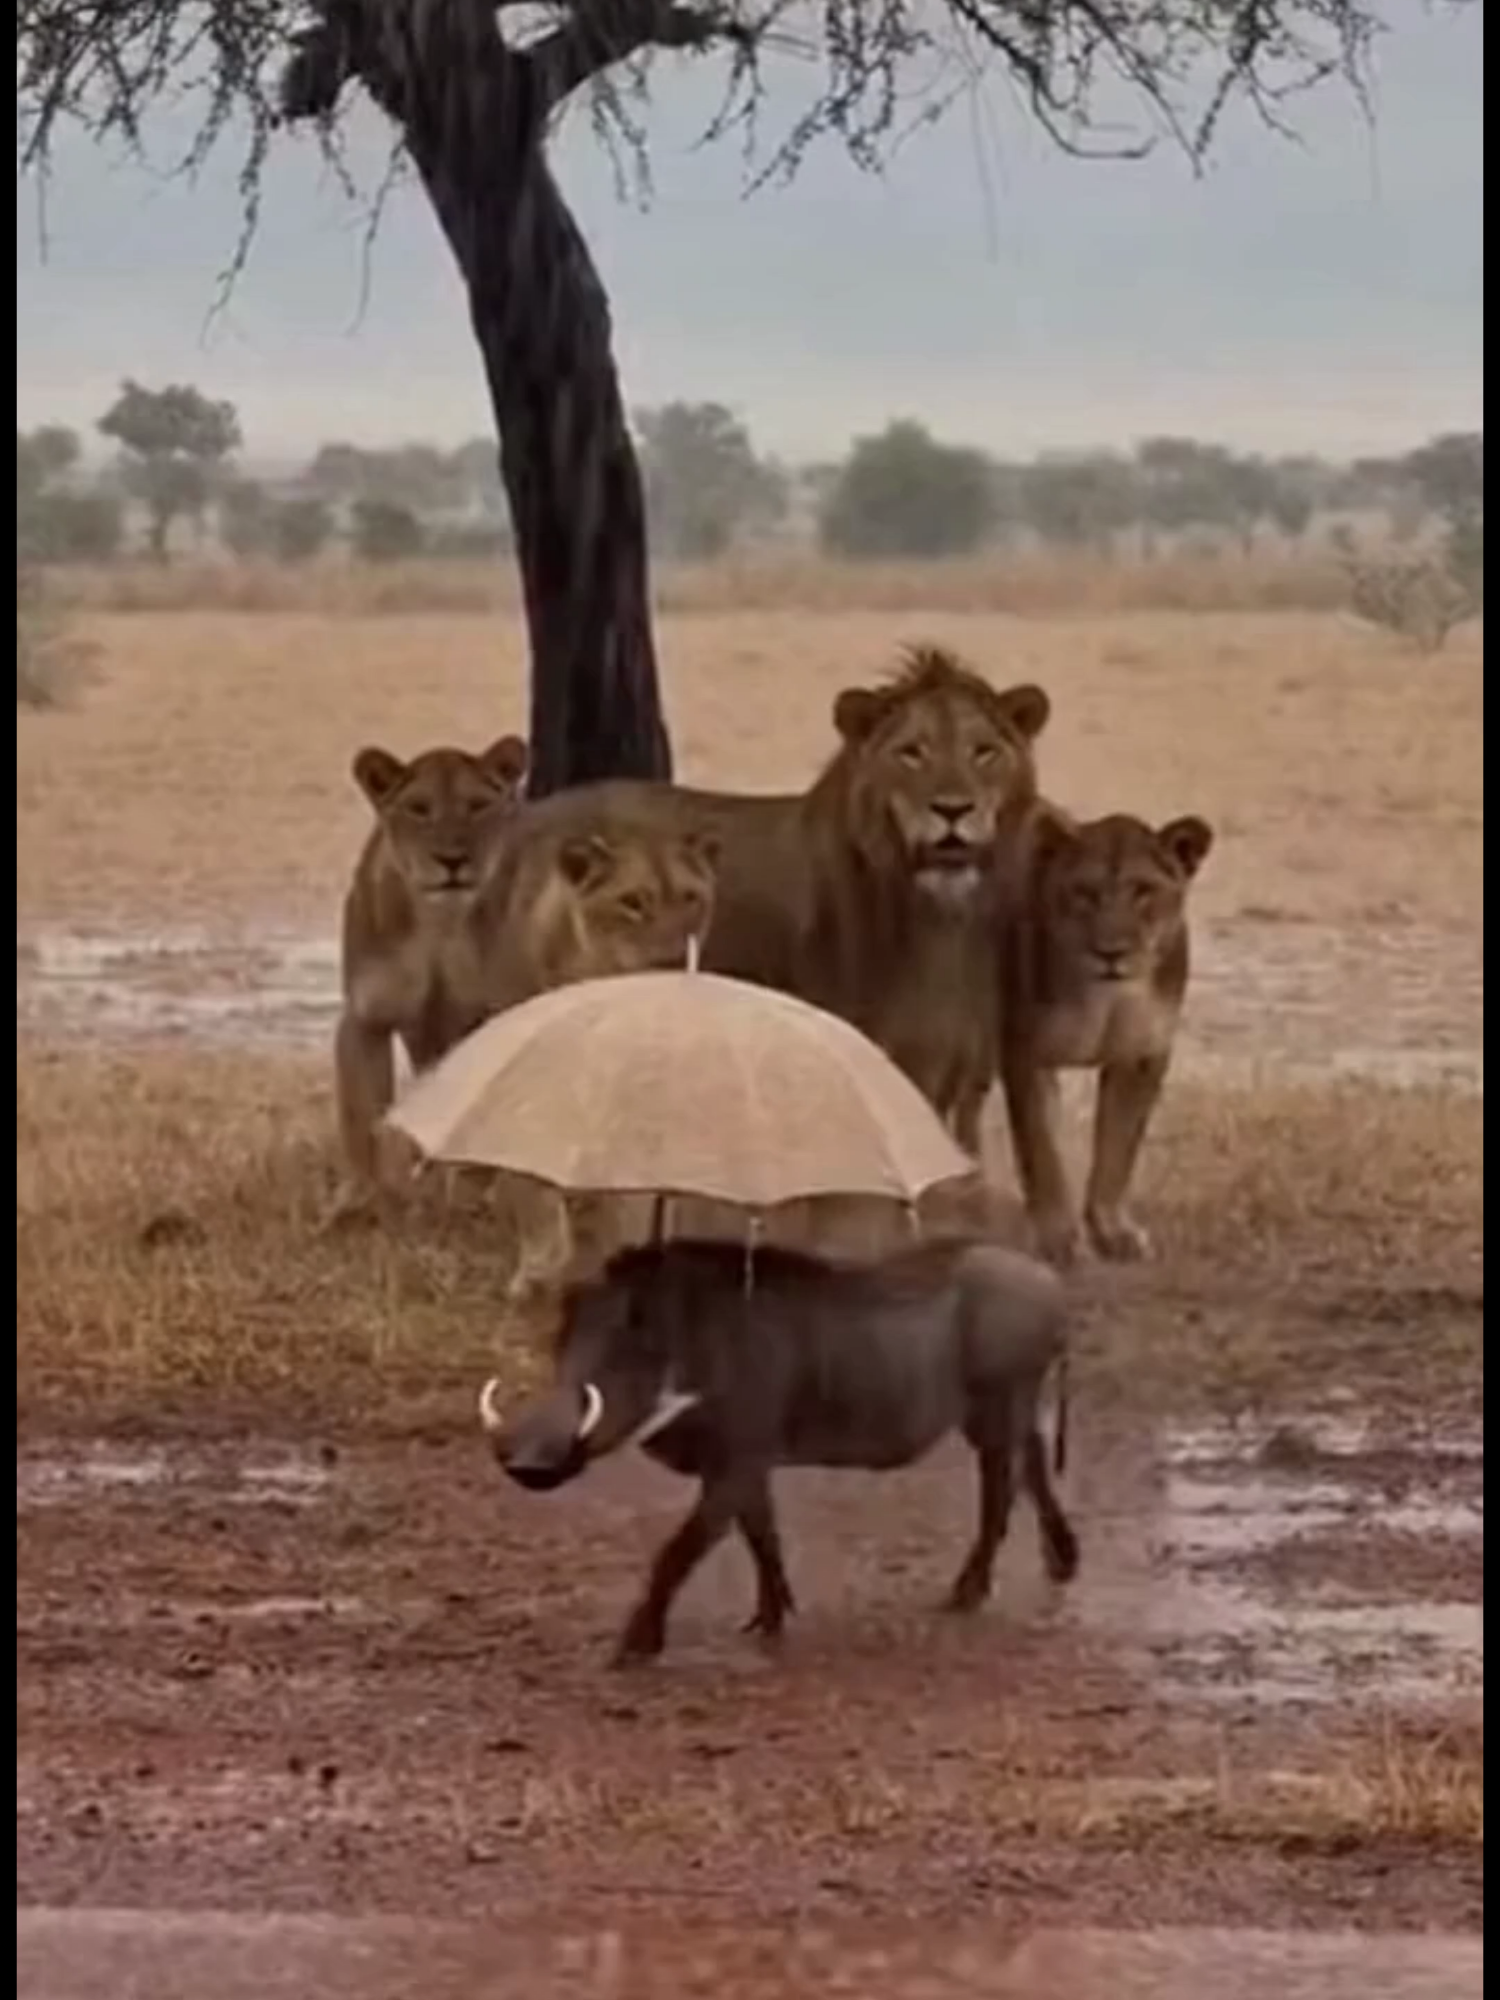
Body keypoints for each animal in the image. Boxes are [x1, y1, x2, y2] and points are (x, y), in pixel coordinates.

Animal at [333, 733, 530, 1205]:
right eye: (419, 808)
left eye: (477, 805)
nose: (452, 859)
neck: (438, 922)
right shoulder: (366, 1018)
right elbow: (361, 1120)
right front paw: (361, 1200)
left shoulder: (493, 1016)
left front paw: (479, 1192)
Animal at [996, 807, 1215, 1266]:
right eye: (1085, 892)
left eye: (1143, 891)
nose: (1109, 953)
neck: (1108, 996)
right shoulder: (1026, 1054)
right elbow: (1042, 1151)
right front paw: (1057, 1238)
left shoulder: (1141, 1059)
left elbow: (1118, 1150)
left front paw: (1112, 1232)